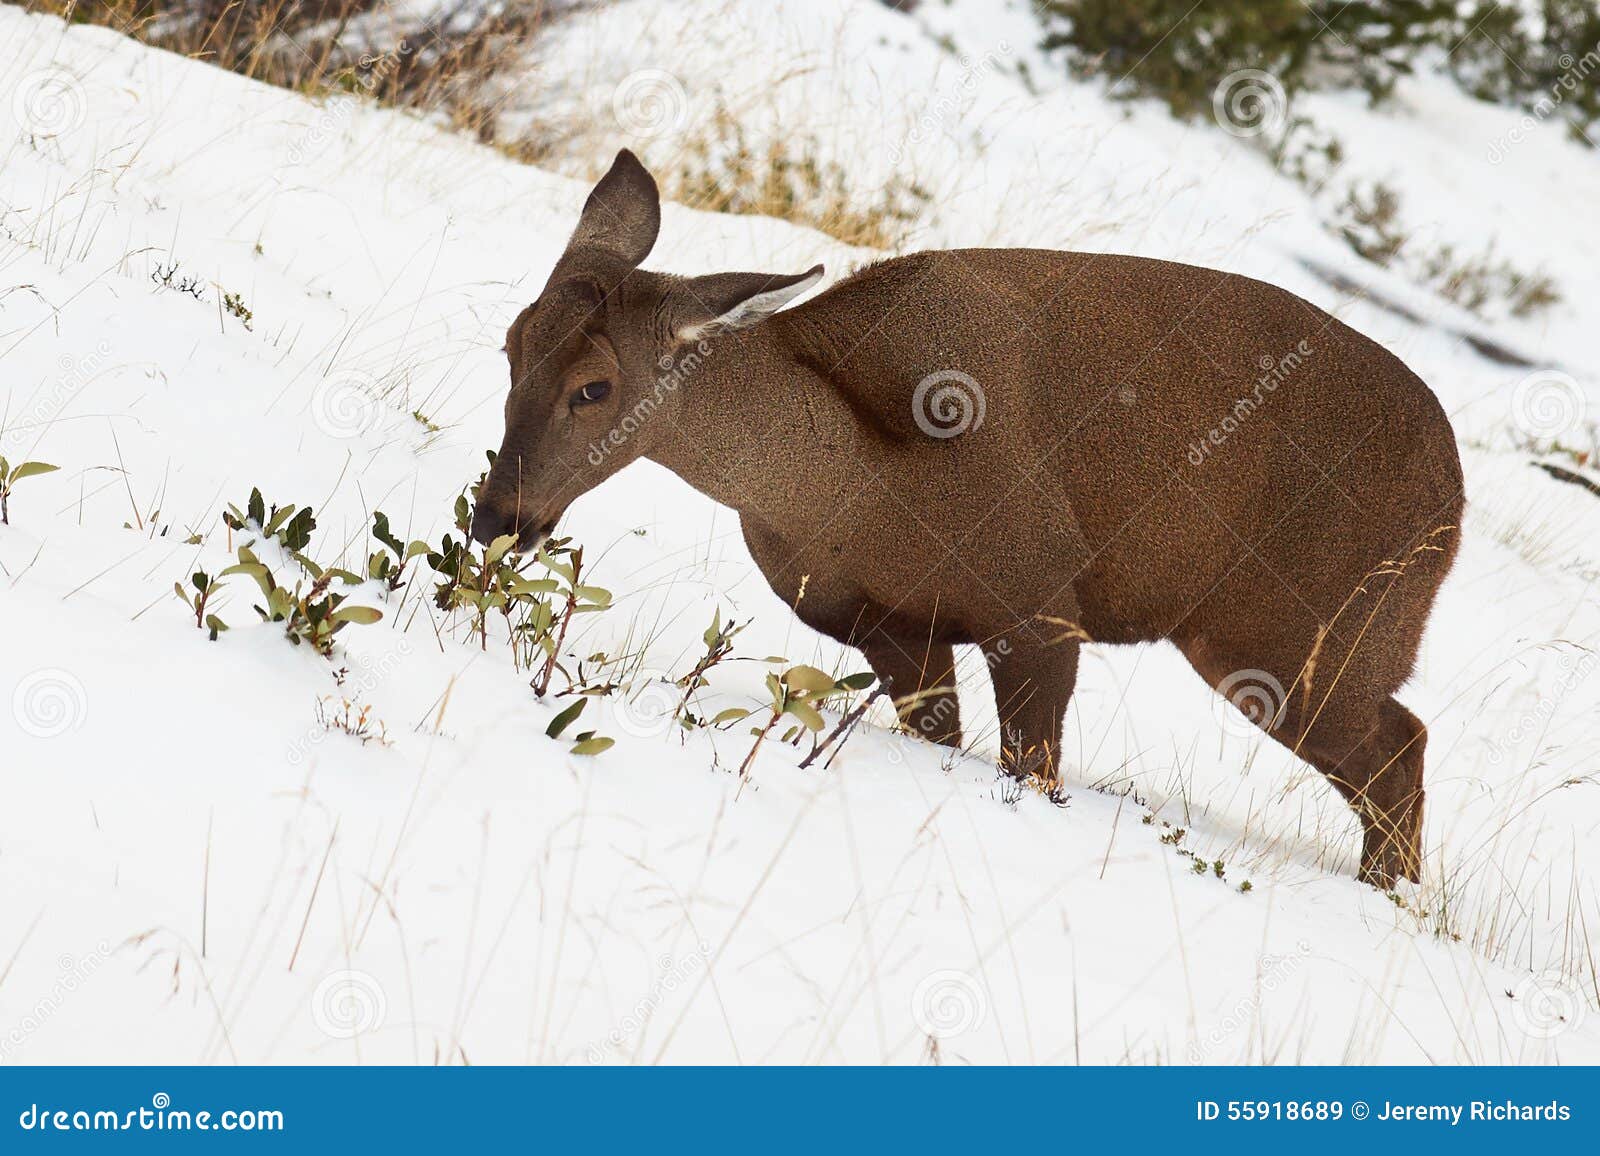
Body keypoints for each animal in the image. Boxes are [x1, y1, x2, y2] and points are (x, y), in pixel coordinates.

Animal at [470, 148, 1465, 890]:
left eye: (595, 387)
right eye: (511, 342)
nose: (497, 517)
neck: (849, 489)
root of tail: (1456, 502)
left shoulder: (1040, 603)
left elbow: (1034, 773)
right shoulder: (885, 629)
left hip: (1301, 633)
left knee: (1400, 748)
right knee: (1400, 748)